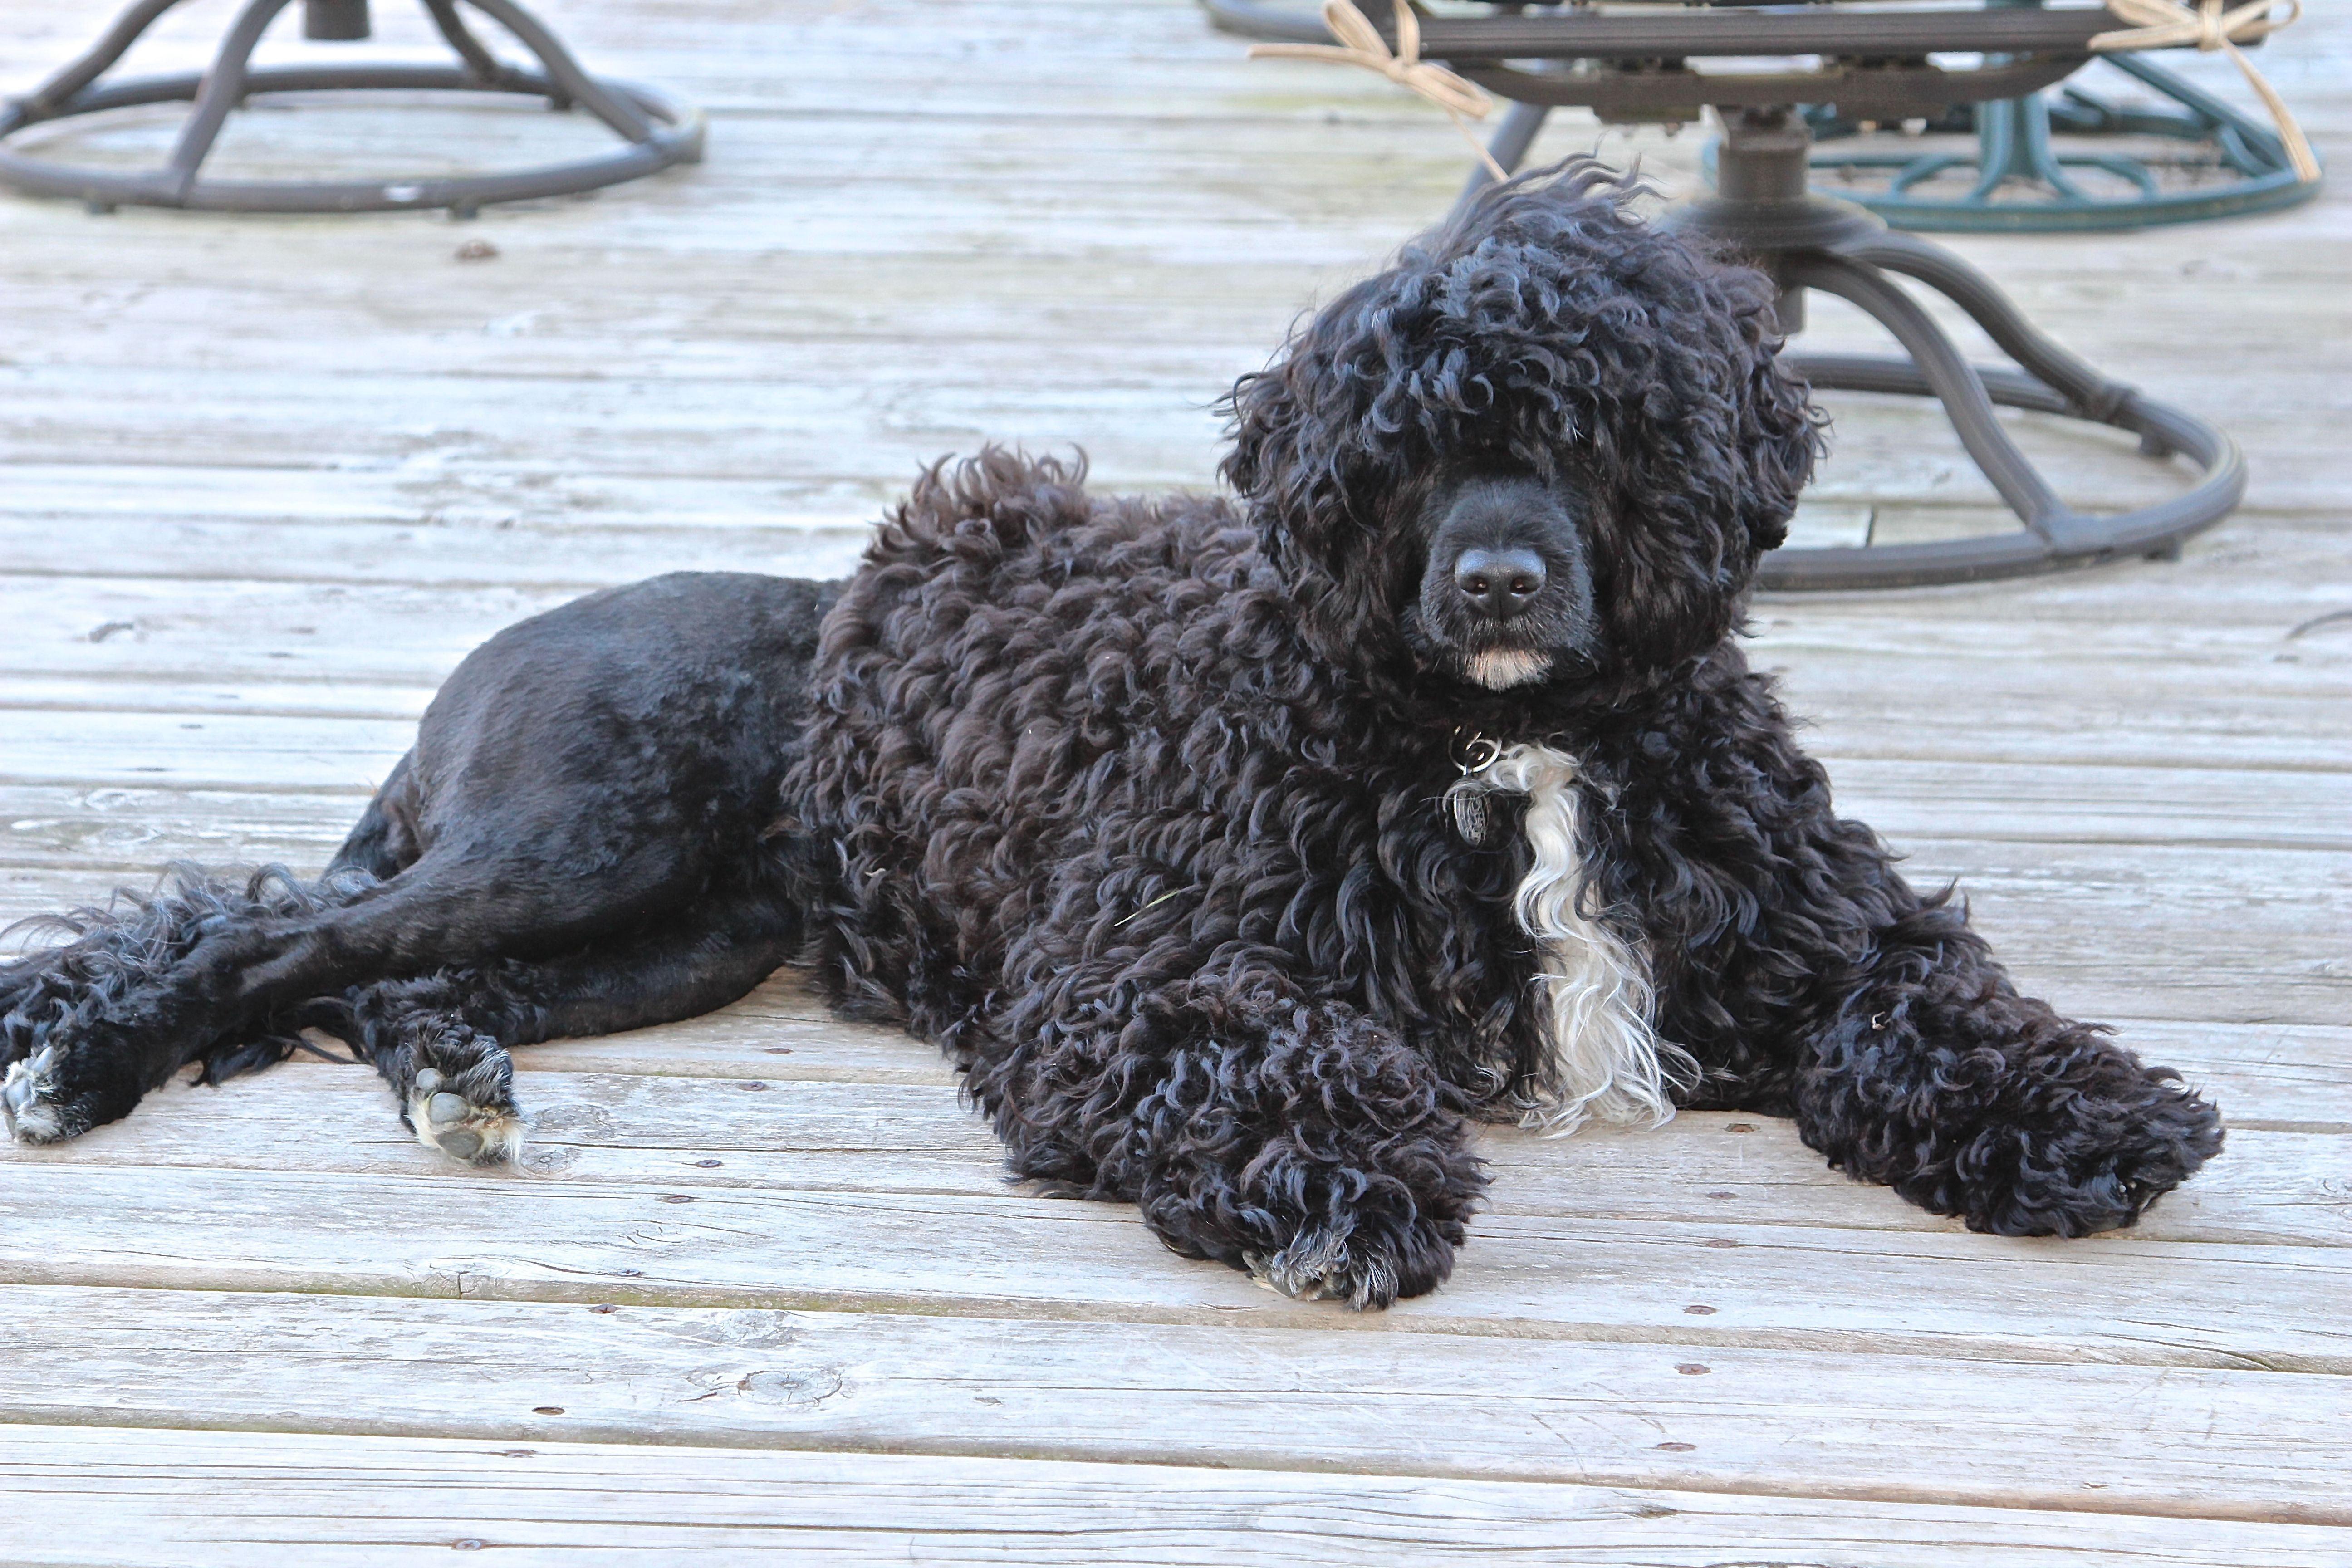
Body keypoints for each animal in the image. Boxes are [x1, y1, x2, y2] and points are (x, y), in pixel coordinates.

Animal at [0, 166, 2220, 1307]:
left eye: (1598, 429)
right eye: (1406, 450)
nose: (1498, 579)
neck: (1513, 752)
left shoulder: (1813, 933)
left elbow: (1934, 1000)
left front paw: (2079, 1109)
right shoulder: (1132, 978)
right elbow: (1269, 1059)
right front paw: (1344, 1186)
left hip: (673, 932)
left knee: (381, 983)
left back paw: (455, 1082)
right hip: (571, 835)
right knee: (259, 933)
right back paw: (85, 1058)